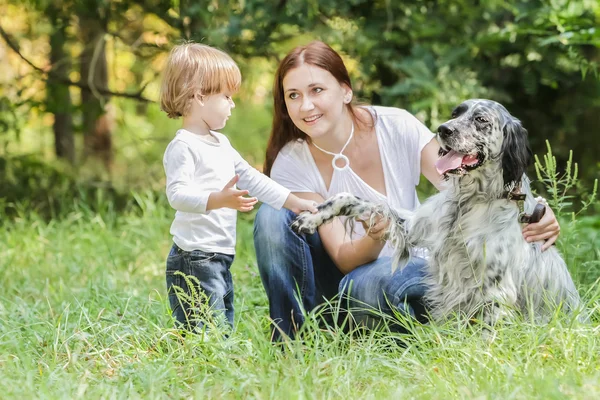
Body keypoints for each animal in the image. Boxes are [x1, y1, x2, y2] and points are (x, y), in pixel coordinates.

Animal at [290, 99, 580, 324]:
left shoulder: (496, 290)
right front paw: (312, 217)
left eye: (481, 119)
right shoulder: (414, 228)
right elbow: (352, 198)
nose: (443, 129)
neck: (470, 201)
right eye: (455, 113)